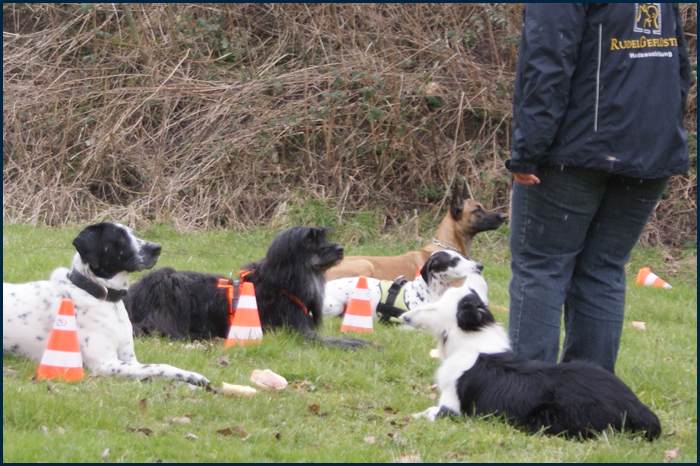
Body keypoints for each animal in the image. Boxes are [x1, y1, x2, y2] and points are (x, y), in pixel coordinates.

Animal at [3, 222, 211, 386]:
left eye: (132, 233)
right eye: (120, 237)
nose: (156, 248)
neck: (102, 297)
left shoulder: (130, 360)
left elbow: (153, 371)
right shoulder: (106, 364)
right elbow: (159, 366)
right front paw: (194, 377)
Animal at [123, 224, 370, 348]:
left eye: (324, 237)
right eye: (310, 239)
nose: (340, 249)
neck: (282, 284)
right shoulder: (297, 333)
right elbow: (338, 341)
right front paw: (364, 344)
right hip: (169, 284)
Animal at [400, 284, 660, 440]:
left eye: (434, 307)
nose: (403, 317)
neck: (473, 339)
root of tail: (636, 407)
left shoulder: (451, 410)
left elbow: (422, 413)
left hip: (548, 419)